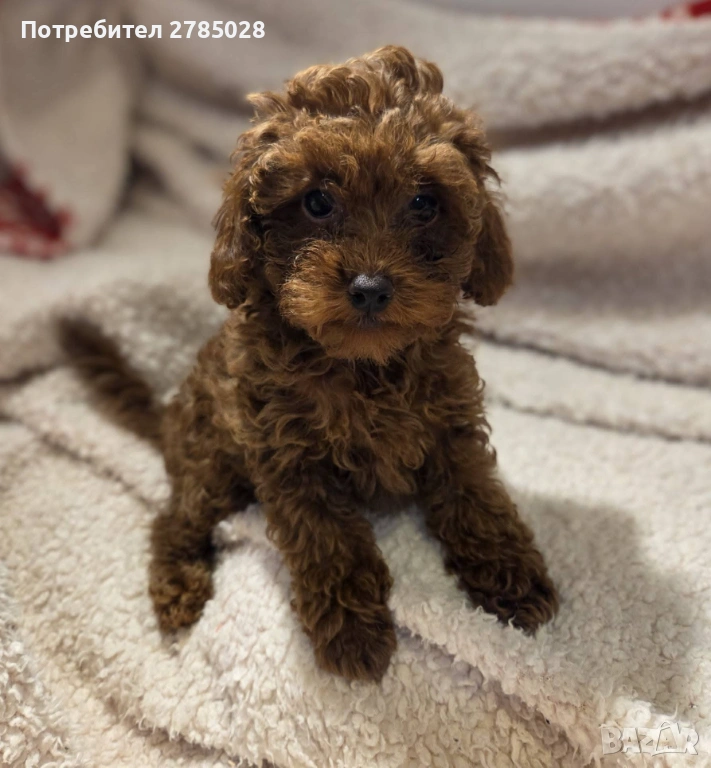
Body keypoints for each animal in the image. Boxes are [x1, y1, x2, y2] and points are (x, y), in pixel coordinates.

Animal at [61, 46, 558, 683]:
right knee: (175, 518)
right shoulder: (289, 456)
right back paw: (177, 586)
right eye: (317, 202)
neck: (363, 365)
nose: (370, 288)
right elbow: (329, 539)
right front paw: (353, 632)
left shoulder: (450, 423)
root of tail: (166, 416)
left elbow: (476, 497)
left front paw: (511, 576)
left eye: (424, 202)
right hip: (211, 462)